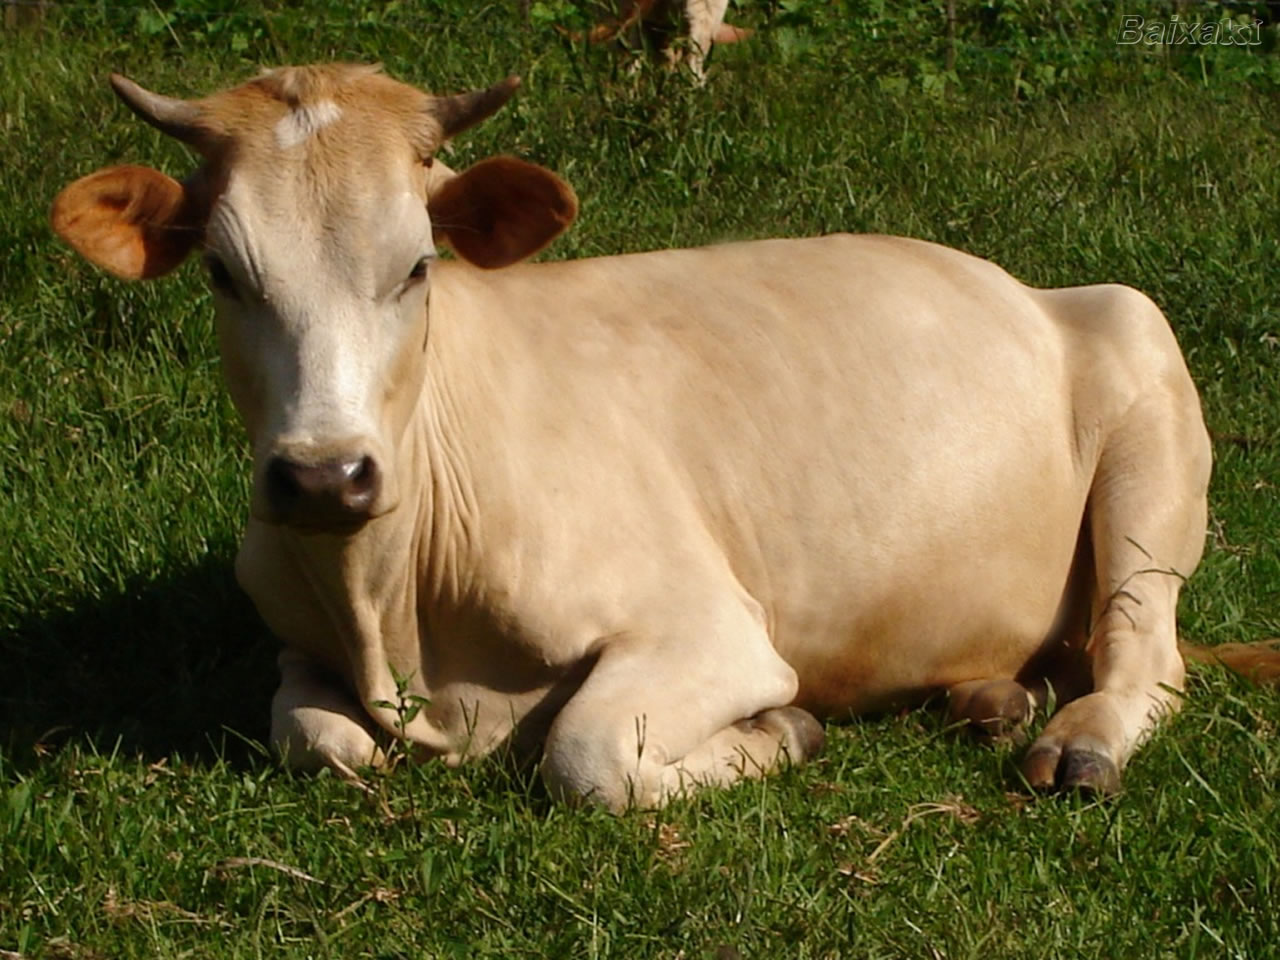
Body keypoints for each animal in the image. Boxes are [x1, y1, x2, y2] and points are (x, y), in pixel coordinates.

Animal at [49, 64, 1278, 811]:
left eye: (417, 266)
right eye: (223, 273)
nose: (324, 476)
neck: (392, 613)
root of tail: (1028, 286)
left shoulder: (711, 632)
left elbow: (587, 754)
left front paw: (785, 732)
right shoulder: (293, 628)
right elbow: (318, 738)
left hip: (1143, 379)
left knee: (1146, 657)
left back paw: (1078, 738)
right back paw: (990, 697)